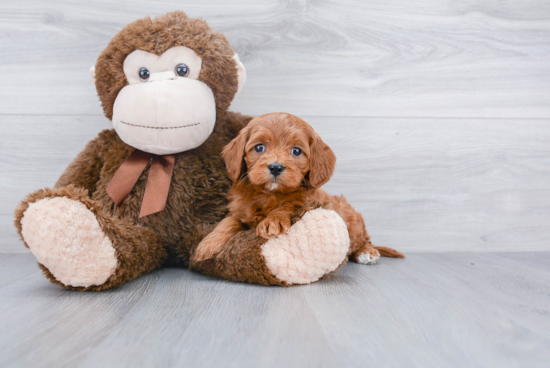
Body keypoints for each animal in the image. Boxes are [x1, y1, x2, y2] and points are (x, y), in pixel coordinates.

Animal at [196, 113, 408, 264]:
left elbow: (289, 205)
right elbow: (228, 221)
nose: (275, 167)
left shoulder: (308, 202)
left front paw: (273, 220)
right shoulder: (238, 210)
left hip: (353, 222)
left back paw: (368, 252)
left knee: (364, 241)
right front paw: (207, 244)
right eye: (259, 148)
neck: (268, 194)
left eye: (296, 151)